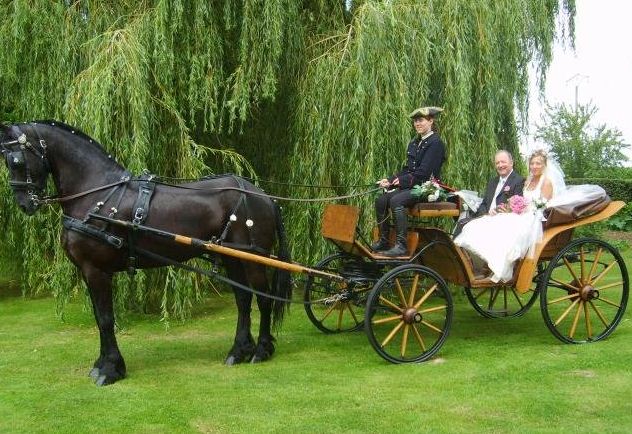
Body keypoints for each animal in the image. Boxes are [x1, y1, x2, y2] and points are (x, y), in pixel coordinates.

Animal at [0, 121, 292, 386]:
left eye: (16, 160)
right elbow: (99, 317)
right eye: (6, 159)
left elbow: (106, 319)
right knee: (243, 300)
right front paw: (102, 364)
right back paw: (238, 350)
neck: (97, 195)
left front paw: (110, 370)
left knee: (263, 299)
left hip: (253, 260)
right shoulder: (88, 271)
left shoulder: (96, 270)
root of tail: (262, 195)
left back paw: (261, 350)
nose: (25, 204)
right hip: (234, 259)